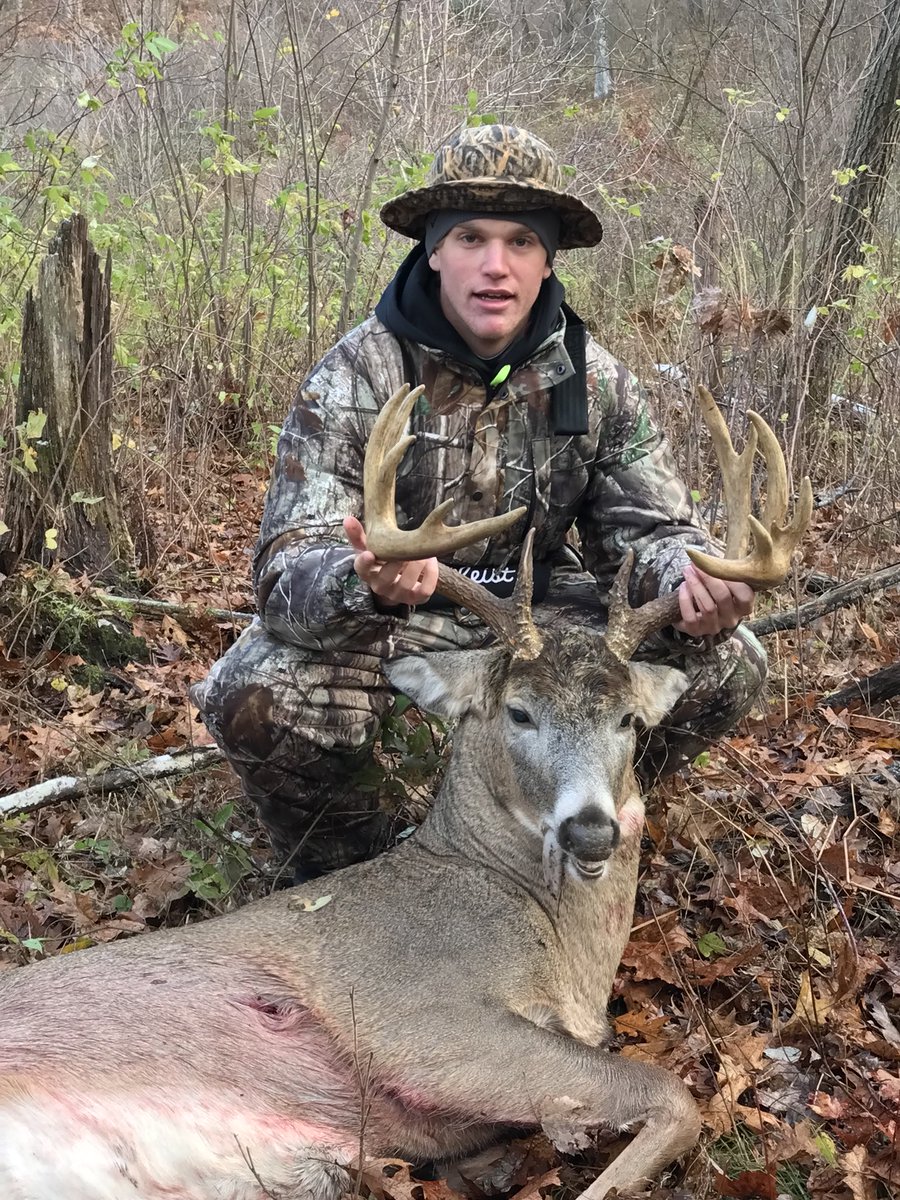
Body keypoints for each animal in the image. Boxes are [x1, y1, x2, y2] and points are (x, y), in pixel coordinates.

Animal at [0, 384, 811, 1200]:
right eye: (518, 711)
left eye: (627, 719)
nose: (592, 831)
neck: (557, 945)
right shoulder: (422, 1014)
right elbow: (674, 1095)